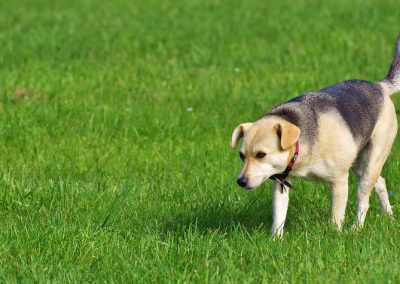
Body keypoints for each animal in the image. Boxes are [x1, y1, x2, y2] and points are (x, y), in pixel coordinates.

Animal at [231, 35, 400, 236]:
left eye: (261, 154)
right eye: (241, 156)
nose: (241, 181)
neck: (301, 148)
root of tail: (379, 87)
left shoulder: (339, 180)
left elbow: (336, 216)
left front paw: (335, 235)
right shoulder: (281, 183)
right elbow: (279, 215)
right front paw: (275, 239)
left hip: (372, 159)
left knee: (364, 197)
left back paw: (356, 228)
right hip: (358, 163)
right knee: (380, 182)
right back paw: (388, 216)